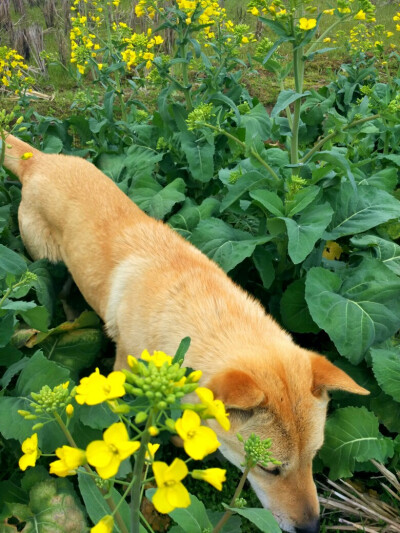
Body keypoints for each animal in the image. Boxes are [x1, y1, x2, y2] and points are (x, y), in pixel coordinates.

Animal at [3, 134, 368, 532]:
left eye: (314, 457)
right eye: (269, 469)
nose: (312, 527)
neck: (205, 315)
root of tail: (39, 159)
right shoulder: (124, 371)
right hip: (44, 259)